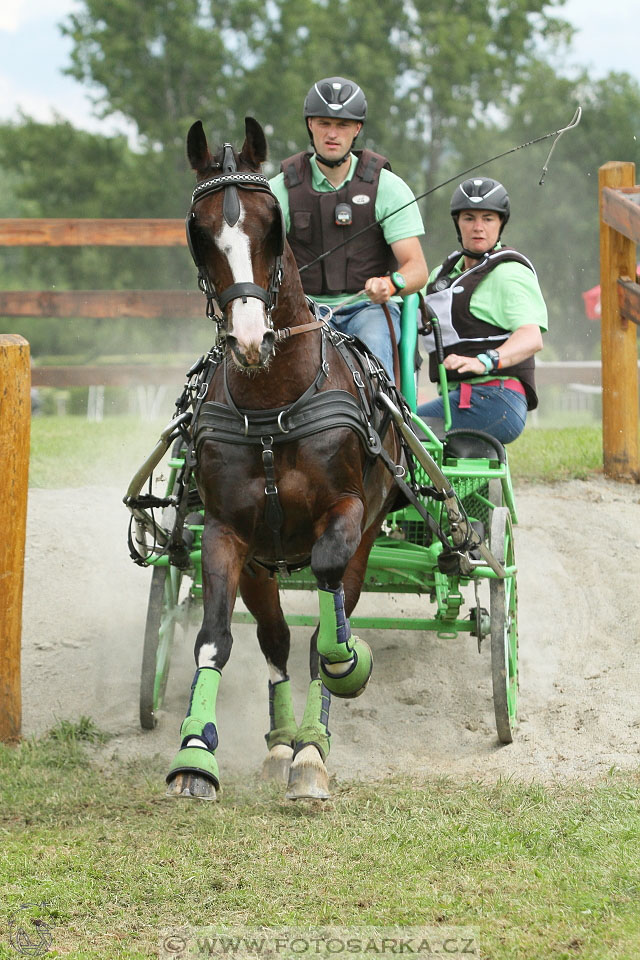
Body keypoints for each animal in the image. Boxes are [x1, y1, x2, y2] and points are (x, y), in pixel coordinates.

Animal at [165, 116, 404, 800]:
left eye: (271, 224)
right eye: (199, 231)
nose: (250, 338)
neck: (274, 403)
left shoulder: (344, 514)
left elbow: (327, 633)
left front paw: (345, 676)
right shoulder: (225, 532)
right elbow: (216, 639)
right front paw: (195, 753)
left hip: (368, 534)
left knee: (328, 616)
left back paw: (310, 750)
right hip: (260, 563)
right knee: (273, 637)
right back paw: (280, 745)